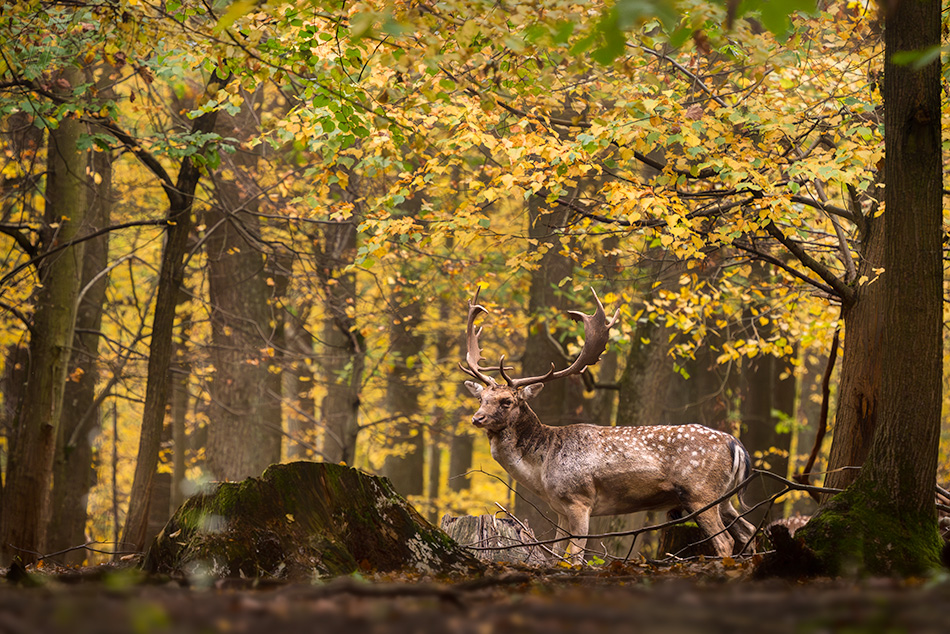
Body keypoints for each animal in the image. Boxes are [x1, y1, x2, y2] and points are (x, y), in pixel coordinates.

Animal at [462, 286, 760, 556]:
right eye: (481, 398)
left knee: (725, 541)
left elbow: (575, 556)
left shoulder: (580, 500)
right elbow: (556, 553)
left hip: (700, 492)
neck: (543, 468)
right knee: (749, 530)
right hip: (724, 498)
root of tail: (736, 445)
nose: (477, 418)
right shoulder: (559, 509)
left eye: (507, 401)